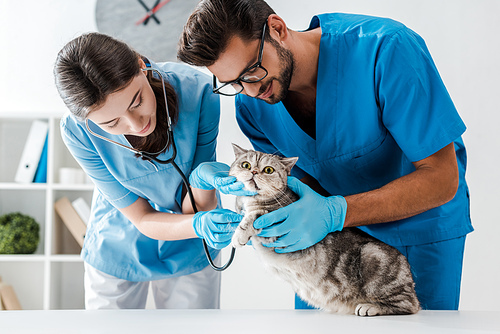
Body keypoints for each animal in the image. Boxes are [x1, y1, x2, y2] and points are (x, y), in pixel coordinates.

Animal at [229, 144, 420, 316]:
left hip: (373, 256)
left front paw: (239, 234)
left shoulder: (277, 227)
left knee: (410, 305)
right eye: (246, 165)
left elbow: (254, 217)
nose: (254, 172)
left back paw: (370, 307)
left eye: (268, 170)